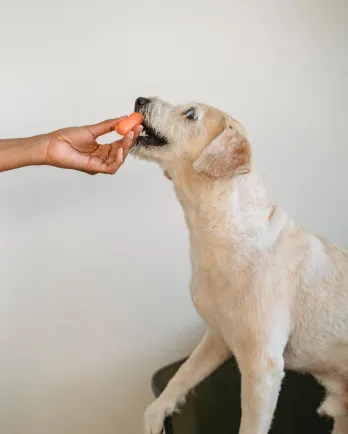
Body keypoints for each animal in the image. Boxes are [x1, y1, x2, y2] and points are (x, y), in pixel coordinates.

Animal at [130, 97, 348, 434]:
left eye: (190, 113)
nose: (140, 99)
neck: (224, 235)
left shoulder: (261, 367)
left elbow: (250, 425)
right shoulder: (216, 337)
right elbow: (182, 375)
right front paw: (155, 412)